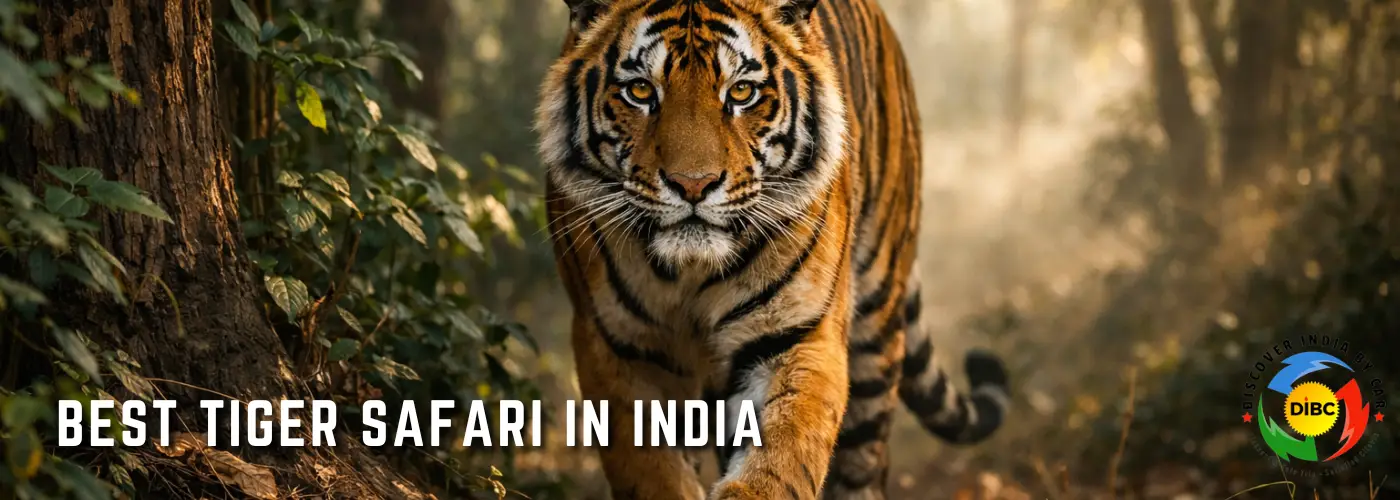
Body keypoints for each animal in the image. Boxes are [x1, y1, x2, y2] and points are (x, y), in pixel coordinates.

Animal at [535, 0, 1011, 498]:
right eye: (641, 90)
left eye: (742, 91)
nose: (693, 185)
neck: (690, 270)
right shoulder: (616, 347)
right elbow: (652, 471)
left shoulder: (794, 334)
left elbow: (779, 457)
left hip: (877, 330)